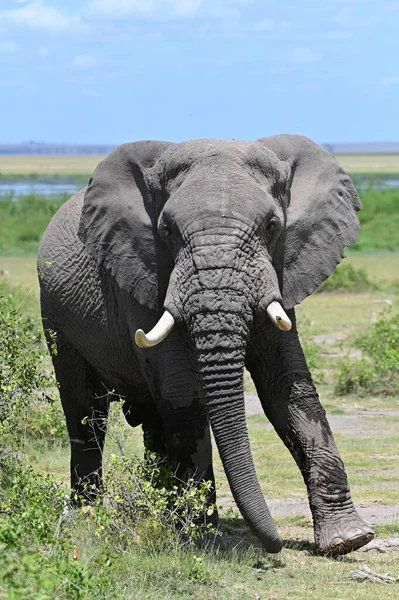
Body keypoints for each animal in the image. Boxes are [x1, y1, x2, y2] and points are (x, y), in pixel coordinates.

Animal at [37, 134, 376, 556]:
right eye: (167, 230)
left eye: (272, 226)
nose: (277, 544)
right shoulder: (144, 275)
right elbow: (185, 396)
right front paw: (201, 537)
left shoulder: (281, 271)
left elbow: (288, 391)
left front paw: (349, 540)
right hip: (55, 317)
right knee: (85, 413)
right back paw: (87, 522)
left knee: (151, 421)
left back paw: (157, 515)